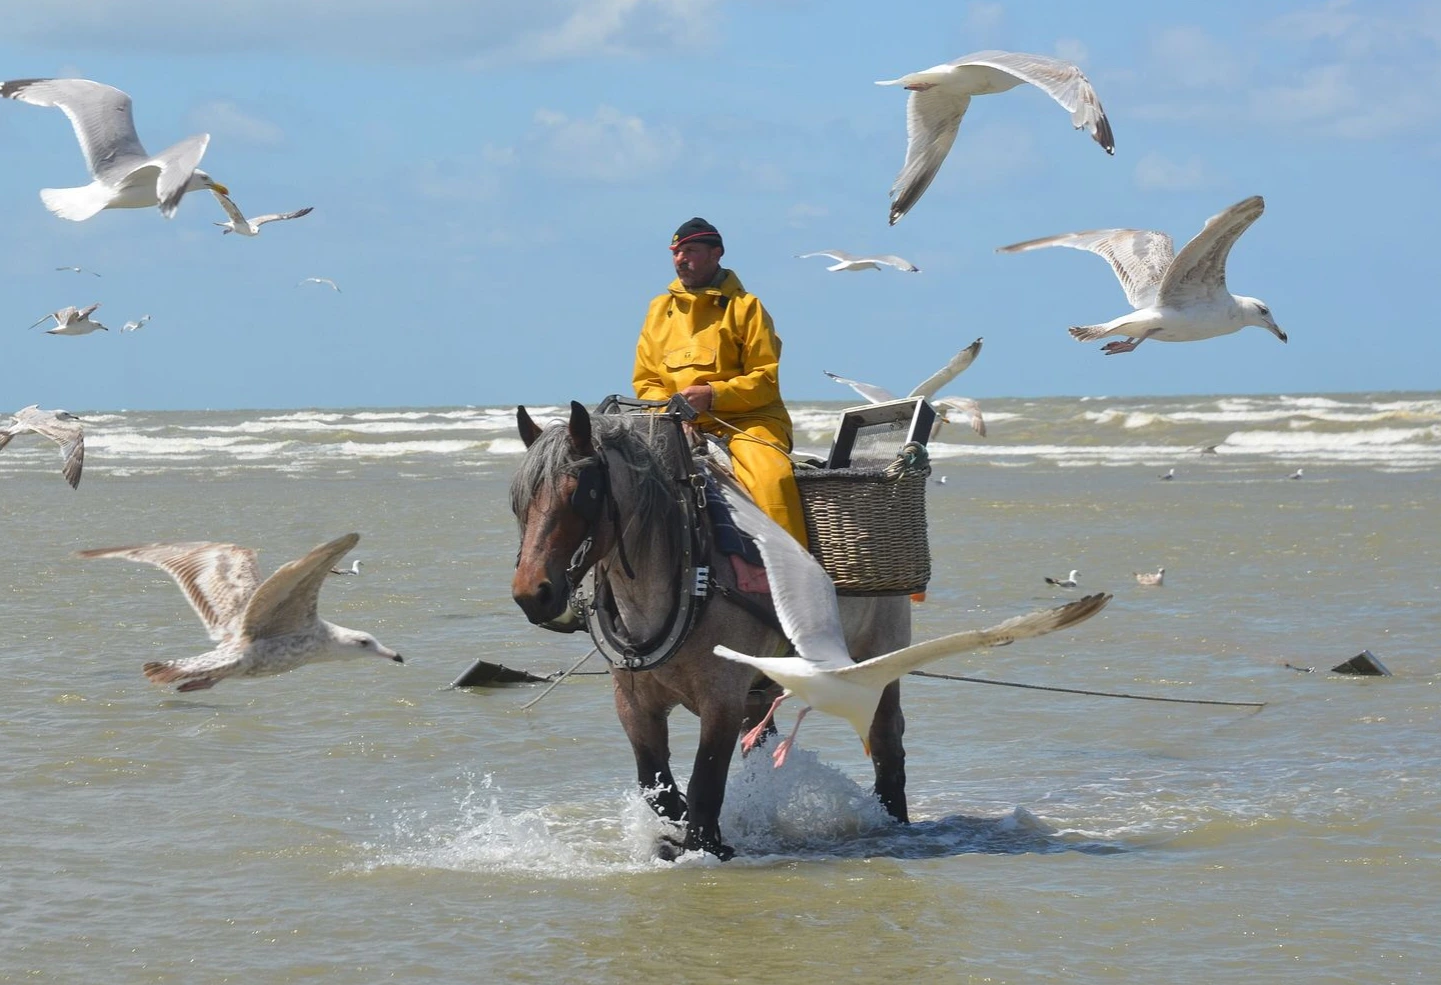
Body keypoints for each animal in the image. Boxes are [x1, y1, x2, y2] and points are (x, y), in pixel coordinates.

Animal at [510, 400, 913, 860]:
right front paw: (681, 835)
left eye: (581, 493)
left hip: (878, 660)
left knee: (887, 742)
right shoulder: (633, 703)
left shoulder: (722, 697)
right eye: (518, 501)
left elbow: (704, 785)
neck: (687, 569)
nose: (532, 594)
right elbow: (657, 787)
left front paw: (704, 846)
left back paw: (893, 820)